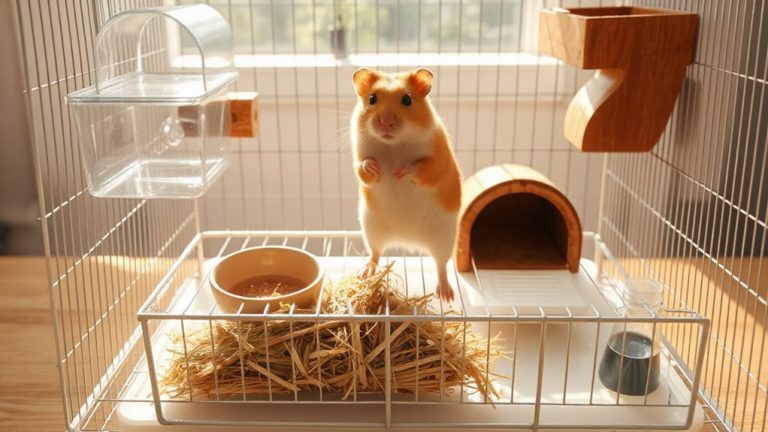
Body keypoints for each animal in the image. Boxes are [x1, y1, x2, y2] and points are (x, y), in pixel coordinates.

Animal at [350, 68, 462, 303]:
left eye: (407, 100)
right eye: (372, 99)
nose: (385, 123)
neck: (393, 144)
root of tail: (409, 241)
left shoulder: (437, 162)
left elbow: (420, 168)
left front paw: (399, 172)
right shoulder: (358, 154)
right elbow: (363, 168)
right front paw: (376, 168)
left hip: (443, 238)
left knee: (441, 265)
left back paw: (446, 295)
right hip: (371, 229)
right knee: (375, 254)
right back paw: (363, 274)